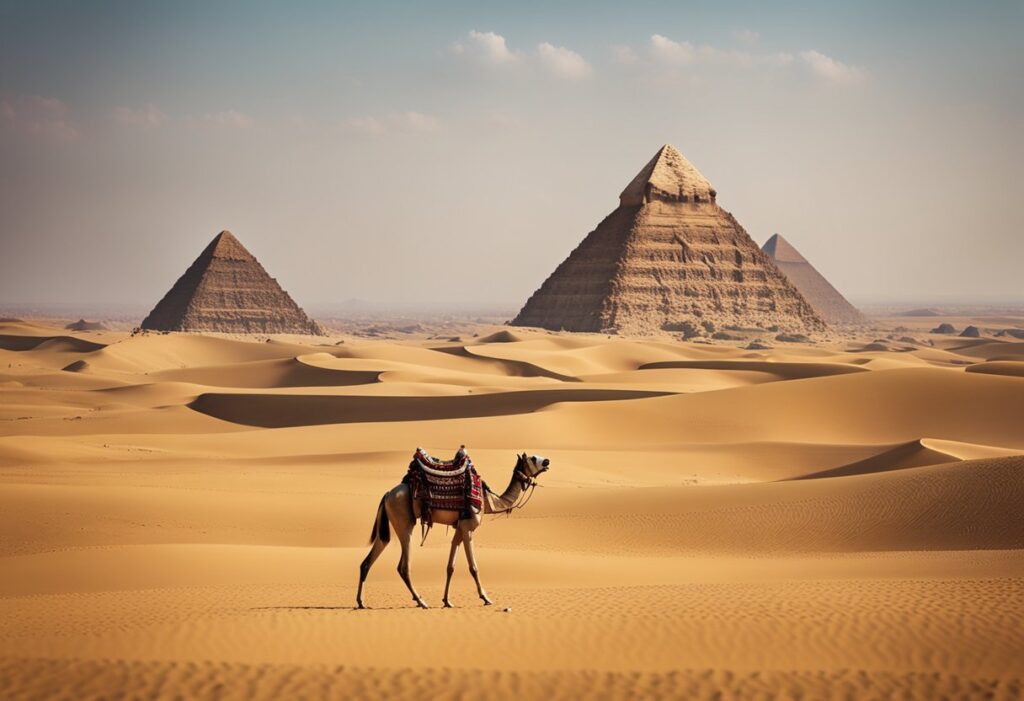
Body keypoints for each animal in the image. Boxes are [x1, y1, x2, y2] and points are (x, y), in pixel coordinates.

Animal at [360, 454, 552, 605]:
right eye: (532, 458)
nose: (547, 461)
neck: (488, 500)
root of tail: (387, 494)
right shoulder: (468, 528)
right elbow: (473, 567)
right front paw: (485, 598)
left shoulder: (459, 529)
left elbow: (450, 566)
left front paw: (447, 601)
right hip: (405, 524)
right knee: (403, 567)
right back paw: (421, 602)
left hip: (389, 525)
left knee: (368, 559)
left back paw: (361, 602)